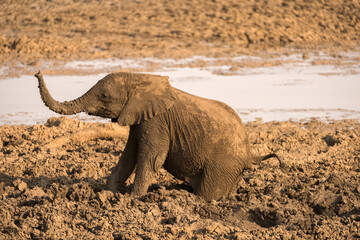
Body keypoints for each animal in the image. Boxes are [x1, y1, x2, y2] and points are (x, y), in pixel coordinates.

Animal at [35, 71, 278, 201]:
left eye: (104, 96)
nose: (37, 72)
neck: (138, 78)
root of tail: (250, 154)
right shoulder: (138, 119)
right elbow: (128, 157)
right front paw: (109, 193)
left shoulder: (156, 122)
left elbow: (151, 158)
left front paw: (133, 199)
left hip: (223, 164)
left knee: (207, 192)